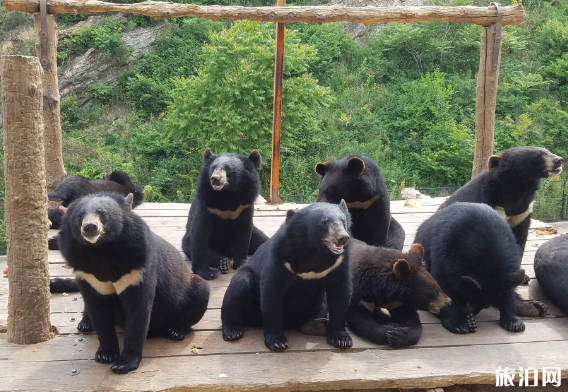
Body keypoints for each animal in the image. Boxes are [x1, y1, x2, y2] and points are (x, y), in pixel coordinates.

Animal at [57, 192, 211, 374]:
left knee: (200, 292)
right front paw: (106, 354)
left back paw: (176, 331)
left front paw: (122, 364)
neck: (101, 251)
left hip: (186, 289)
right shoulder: (88, 274)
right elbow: (98, 309)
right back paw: (85, 324)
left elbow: (138, 311)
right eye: (79, 216)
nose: (90, 227)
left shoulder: (136, 268)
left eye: (102, 213)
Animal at [183, 146, 270, 278]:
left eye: (228, 169)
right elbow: (200, 232)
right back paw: (222, 262)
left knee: (261, 239)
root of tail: (228, 251)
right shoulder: (207, 204)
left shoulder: (244, 205)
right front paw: (207, 272)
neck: (227, 194)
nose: (215, 179)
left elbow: (244, 232)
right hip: (188, 240)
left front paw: (241, 263)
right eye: (213, 167)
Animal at [222, 202, 356, 352]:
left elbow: (340, 293)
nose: (342, 237)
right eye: (324, 223)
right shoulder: (280, 257)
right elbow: (272, 293)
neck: (315, 251)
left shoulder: (339, 262)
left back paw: (317, 325)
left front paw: (342, 339)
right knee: (238, 287)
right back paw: (233, 331)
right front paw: (277, 342)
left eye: (343, 221)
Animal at [414, 202, 548, 334]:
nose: (471, 313)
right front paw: (459, 323)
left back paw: (533, 307)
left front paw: (513, 322)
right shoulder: (445, 253)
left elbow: (508, 290)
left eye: (484, 304)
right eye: (472, 299)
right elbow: (443, 284)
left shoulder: (509, 264)